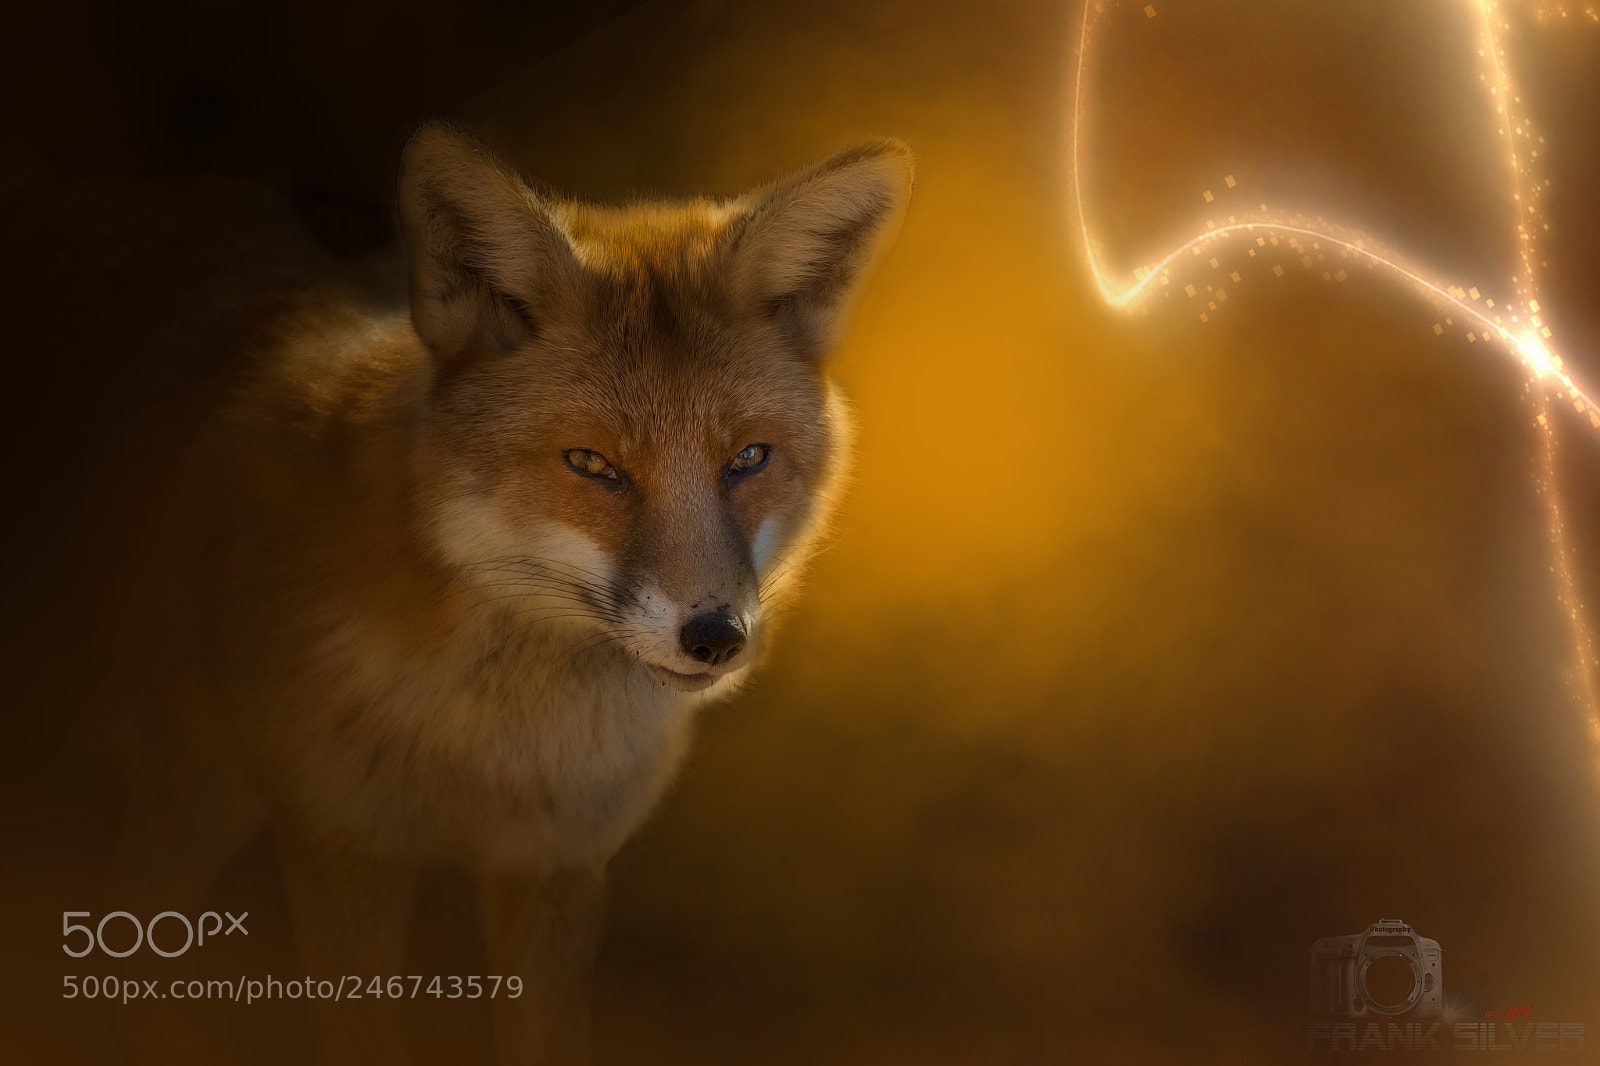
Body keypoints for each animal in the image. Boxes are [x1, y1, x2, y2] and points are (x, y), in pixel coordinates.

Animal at [98, 122, 913, 1064]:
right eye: (592, 465)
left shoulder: (556, 865)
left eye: (746, 459)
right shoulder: (342, 844)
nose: (715, 635)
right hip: (188, 804)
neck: (493, 750)